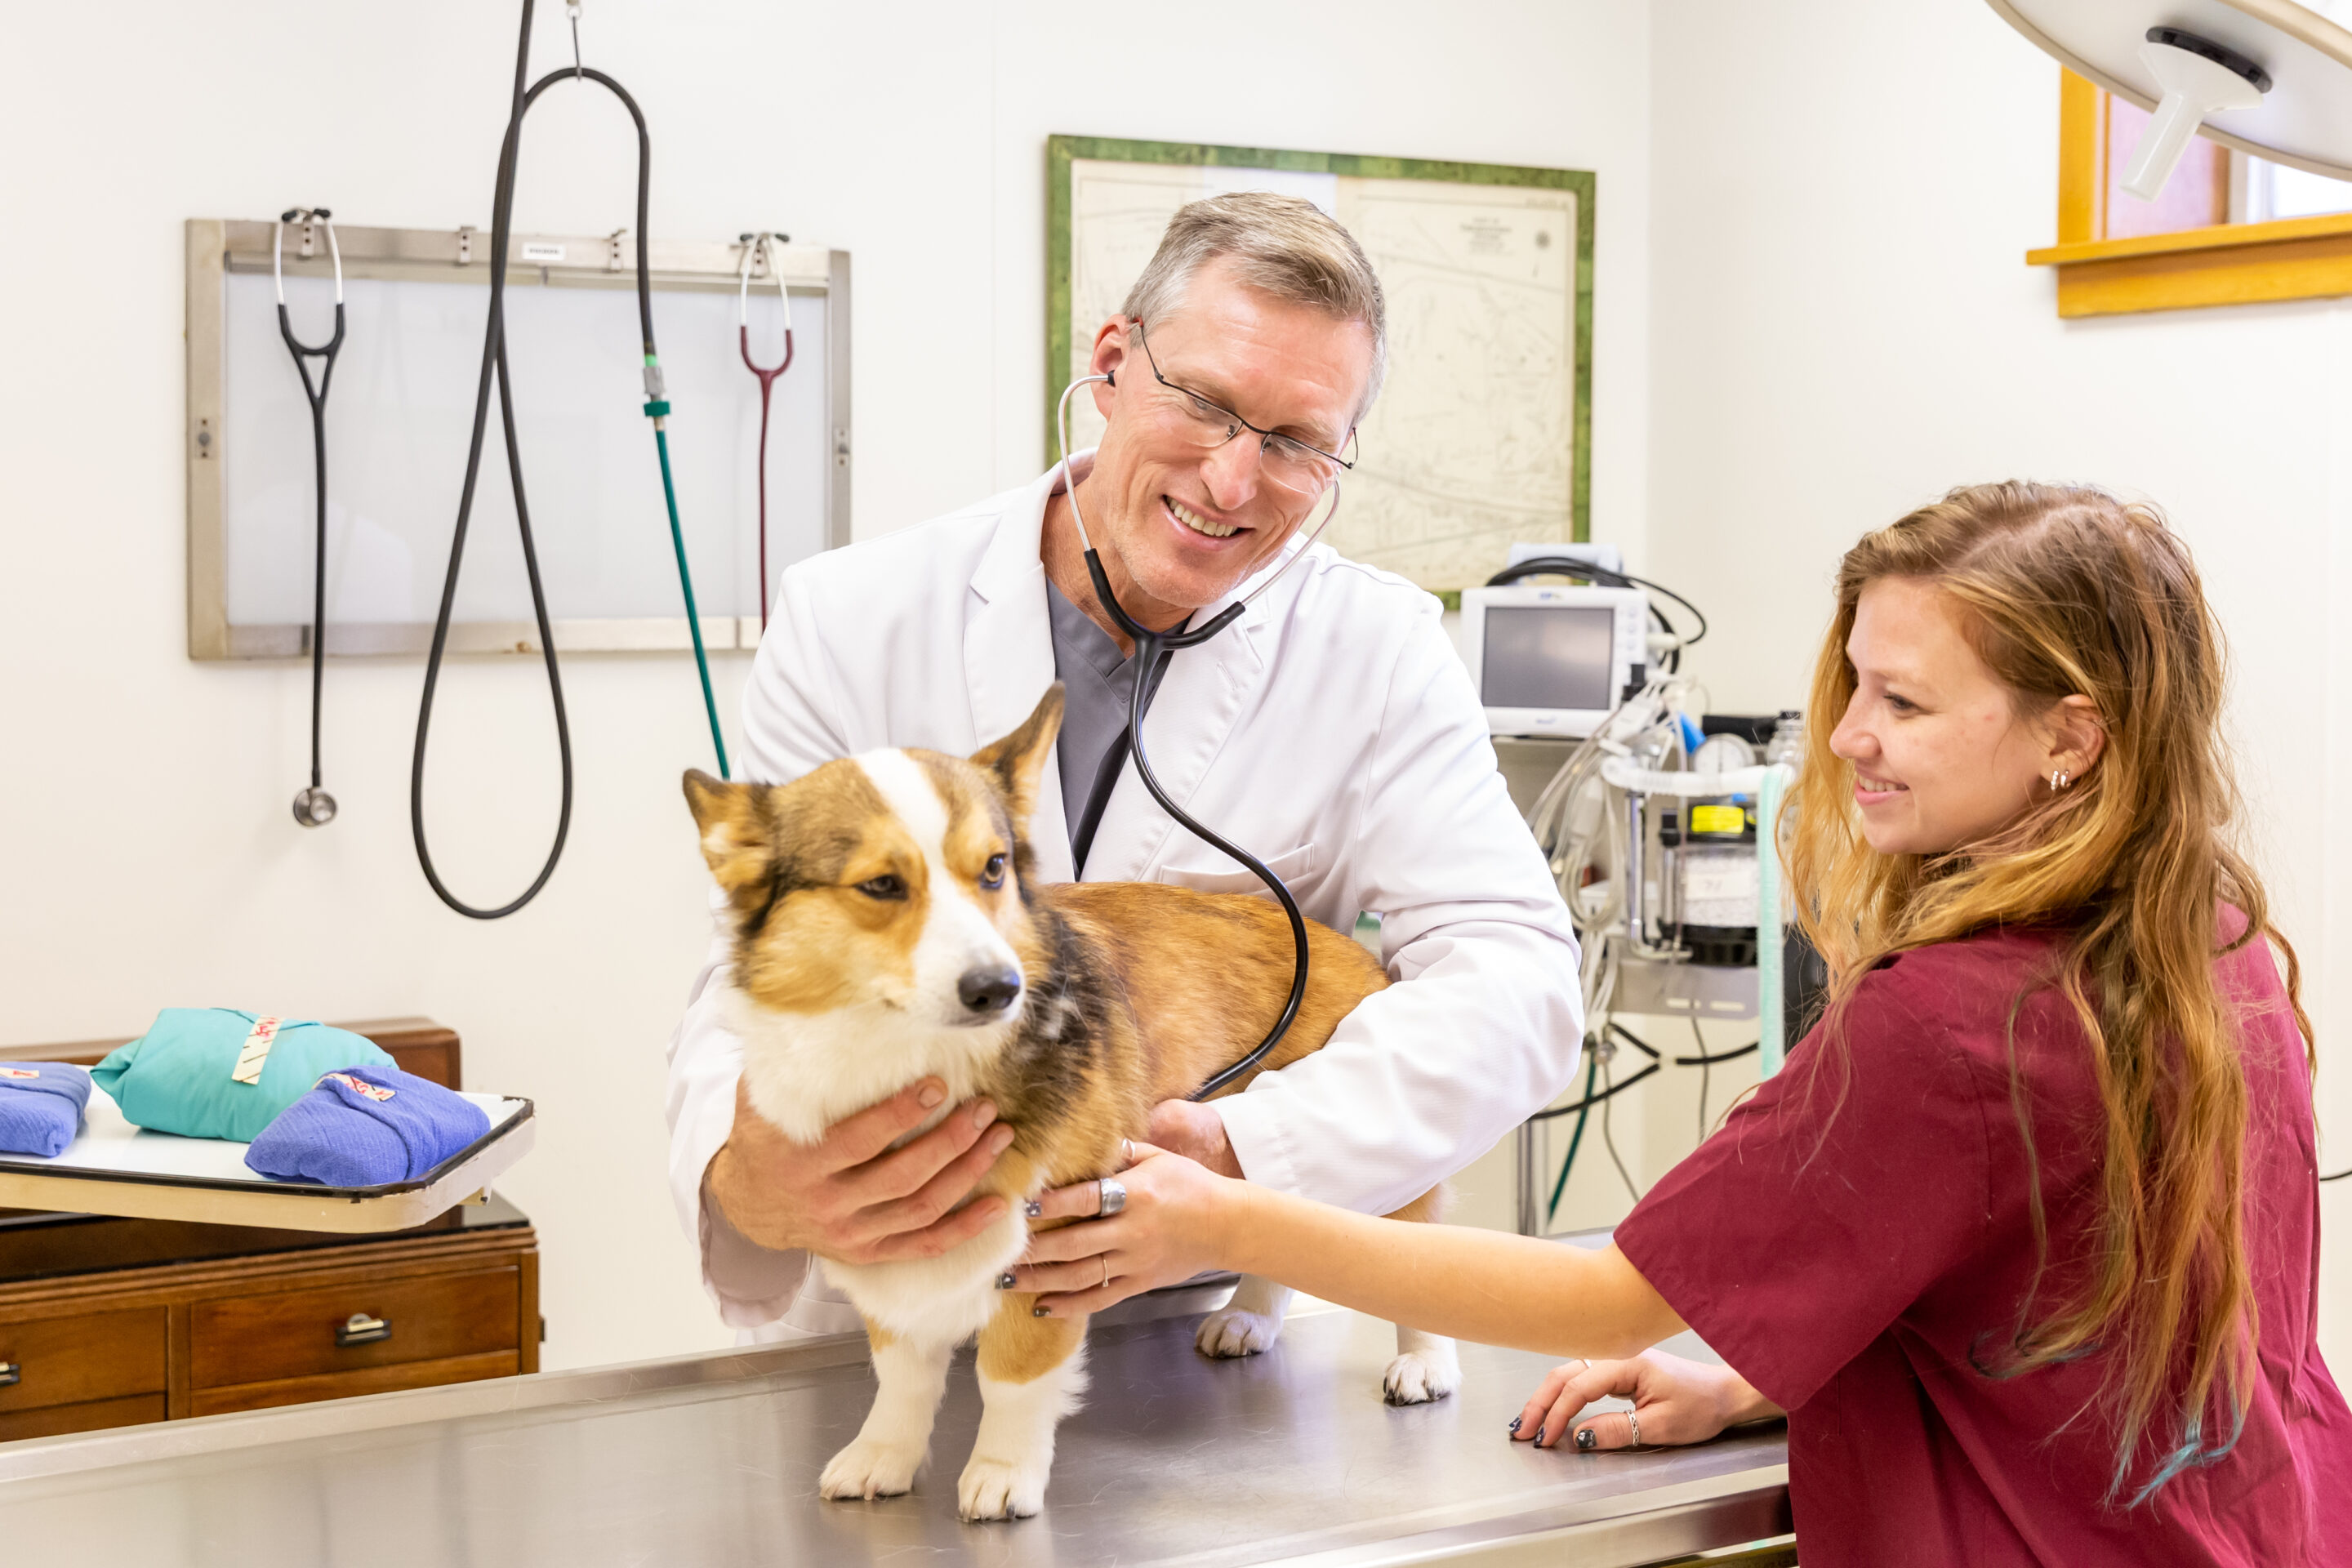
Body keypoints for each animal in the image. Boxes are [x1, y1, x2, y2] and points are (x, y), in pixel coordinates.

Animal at [682, 686, 1449, 1523]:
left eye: (994, 868)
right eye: (881, 884)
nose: (1000, 988)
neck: (905, 1056)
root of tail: (1348, 945)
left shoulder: (1055, 1251)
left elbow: (1009, 1377)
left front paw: (1002, 1474)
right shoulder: (883, 1239)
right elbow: (902, 1377)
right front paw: (882, 1456)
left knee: (1416, 1244)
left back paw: (1424, 1364)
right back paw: (1248, 1317)